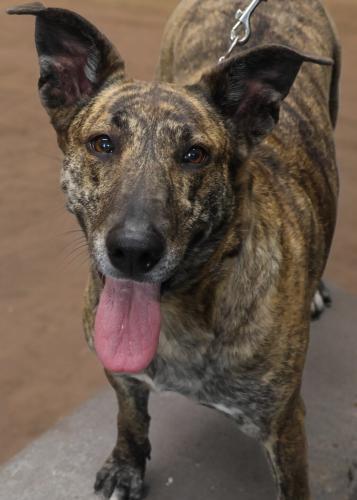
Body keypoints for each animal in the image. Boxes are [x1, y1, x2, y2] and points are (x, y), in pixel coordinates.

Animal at [6, 0, 338, 500]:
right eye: (102, 144)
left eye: (194, 155)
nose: (132, 251)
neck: (181, 312)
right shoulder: (120, 373)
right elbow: (130, 418)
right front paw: (126, 466)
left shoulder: (284, 426)